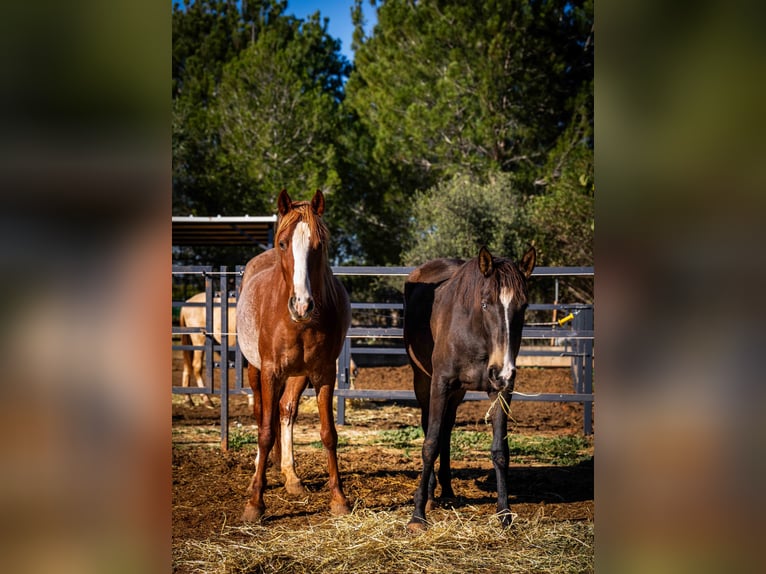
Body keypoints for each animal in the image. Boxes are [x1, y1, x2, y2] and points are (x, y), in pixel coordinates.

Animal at [236, 189, 352, 522]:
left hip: (299, 375)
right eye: (283, 243)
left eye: (319, 244)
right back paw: (258, 475)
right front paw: (255, 503)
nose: (301, 304)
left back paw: (290, 476)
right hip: (255, 370)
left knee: (285, 410)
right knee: (262, 413)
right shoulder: (270, 371)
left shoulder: (324, 373)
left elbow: (328, 433)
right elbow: (264, 432)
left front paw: (338, 498)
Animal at [403, 245, 536, 531]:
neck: (475, 335)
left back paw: (447, 491)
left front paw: (504, 514)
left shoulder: (501, 391)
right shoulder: (440, 383)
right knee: (431, 427)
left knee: (446, 429)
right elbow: (429, 444)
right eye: (485, 303)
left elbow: (500, 451)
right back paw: (430, 494)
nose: (503, 370)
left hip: (458, 393)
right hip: (423, 381)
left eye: (524, 306)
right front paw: (417, 516)